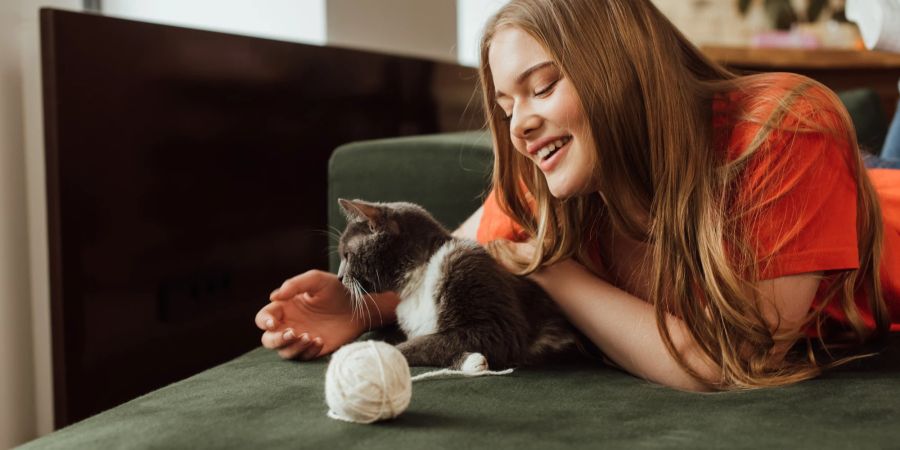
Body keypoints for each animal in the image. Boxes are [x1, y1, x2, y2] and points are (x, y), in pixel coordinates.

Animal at [338, 197, 584, 370]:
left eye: (347, 255)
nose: (339, 278)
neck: (420, 279)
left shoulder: (491, 313)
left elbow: (431, 343)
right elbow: (437, 342)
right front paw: (472, 362)